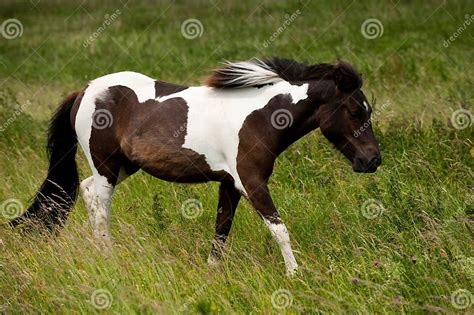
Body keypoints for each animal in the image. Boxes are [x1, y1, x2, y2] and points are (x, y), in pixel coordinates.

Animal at [9, 58, 382, 276]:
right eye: (354, 111)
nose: (372, 161)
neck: (260, 118)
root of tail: (86, 89)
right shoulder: (251, 182)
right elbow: (279, 229)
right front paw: (294, 275)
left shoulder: (230, 184)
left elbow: (222, 229)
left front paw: (212, 271)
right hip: (106, 168)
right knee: (100, 207)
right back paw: (109, 258)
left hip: (123, 167)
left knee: (86, 192)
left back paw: (103, 253)